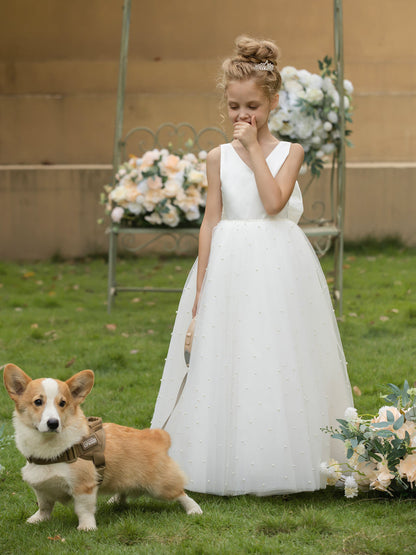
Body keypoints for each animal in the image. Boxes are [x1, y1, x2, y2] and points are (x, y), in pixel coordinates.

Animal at [3, 362, 202, 532]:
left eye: (62, 403)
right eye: (38, 402)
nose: (53, 423)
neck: (49, 448)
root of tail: (157, 437)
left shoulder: (84, 487)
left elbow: (83, 510)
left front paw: (87, 527)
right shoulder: (42, 488)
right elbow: (45, 507)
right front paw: (37, 520)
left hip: (160, 486)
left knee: (181, 493)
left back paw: (194, 510)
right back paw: (115, 501)